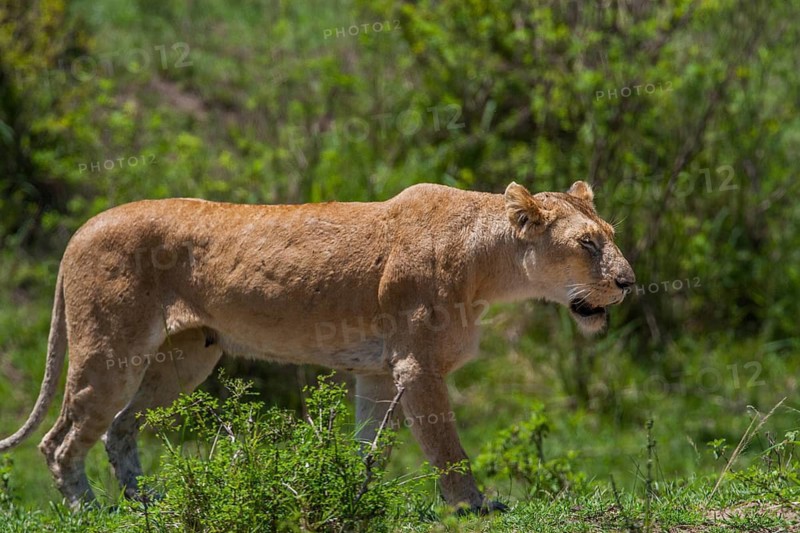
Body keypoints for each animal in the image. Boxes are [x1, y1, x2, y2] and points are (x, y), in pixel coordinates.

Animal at [0, 180, 633, 512]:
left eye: (610, 238)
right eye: (586, 244)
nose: (629, 282)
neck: (489, 264)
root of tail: (81, 228)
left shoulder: (380, 373)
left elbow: (369, 446)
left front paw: (352, 494)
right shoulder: (417, 366)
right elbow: (447, 447)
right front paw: (473, 507)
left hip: (185, 358)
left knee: (119, 428)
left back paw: (147, 503)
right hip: (109, 352)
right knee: (60, 441)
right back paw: (89, 510)